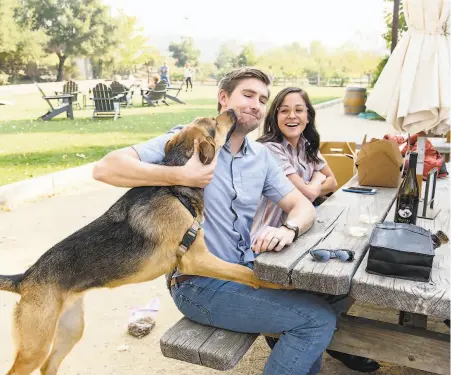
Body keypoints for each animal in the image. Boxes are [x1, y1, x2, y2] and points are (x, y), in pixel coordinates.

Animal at [0, 109, 286, 375]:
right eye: (215, 123)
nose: (233, 111)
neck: (175, 188)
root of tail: (24, 278)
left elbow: (244, 271)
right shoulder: (196, 258)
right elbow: (247, 273)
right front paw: (278, 285)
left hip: (70, 329)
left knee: (49, 366)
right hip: (35, 345)